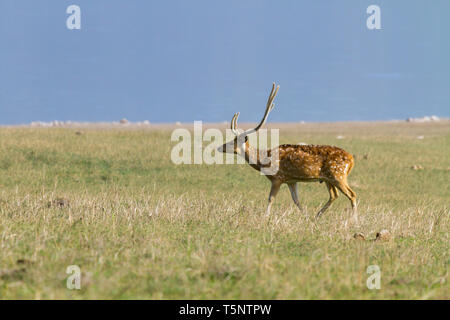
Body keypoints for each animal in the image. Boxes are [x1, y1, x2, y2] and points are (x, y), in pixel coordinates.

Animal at [216, 82, 356, 219]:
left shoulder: (277, 178)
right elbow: (296, 200)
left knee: (352, 194)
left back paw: (354, 220)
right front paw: (305, 217)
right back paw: (317, 216)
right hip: (328, 179)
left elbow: (270, 198)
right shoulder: (291, 180)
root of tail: (352, 159)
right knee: (334, 195)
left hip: (338, 175)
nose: (220, 147)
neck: (263, 160)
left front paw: (265, 217)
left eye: (233, 141)